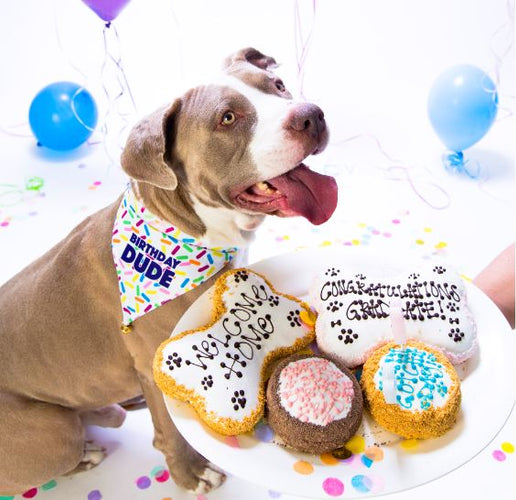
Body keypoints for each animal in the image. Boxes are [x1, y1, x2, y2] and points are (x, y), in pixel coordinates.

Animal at [0, 48, 338, 494]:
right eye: (227, 118)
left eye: (278, 86)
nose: (311, 115)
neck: (185, 229)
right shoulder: (153, 362)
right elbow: (169, 430)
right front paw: (190, 472)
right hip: (53, 434)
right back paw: (87, 453)